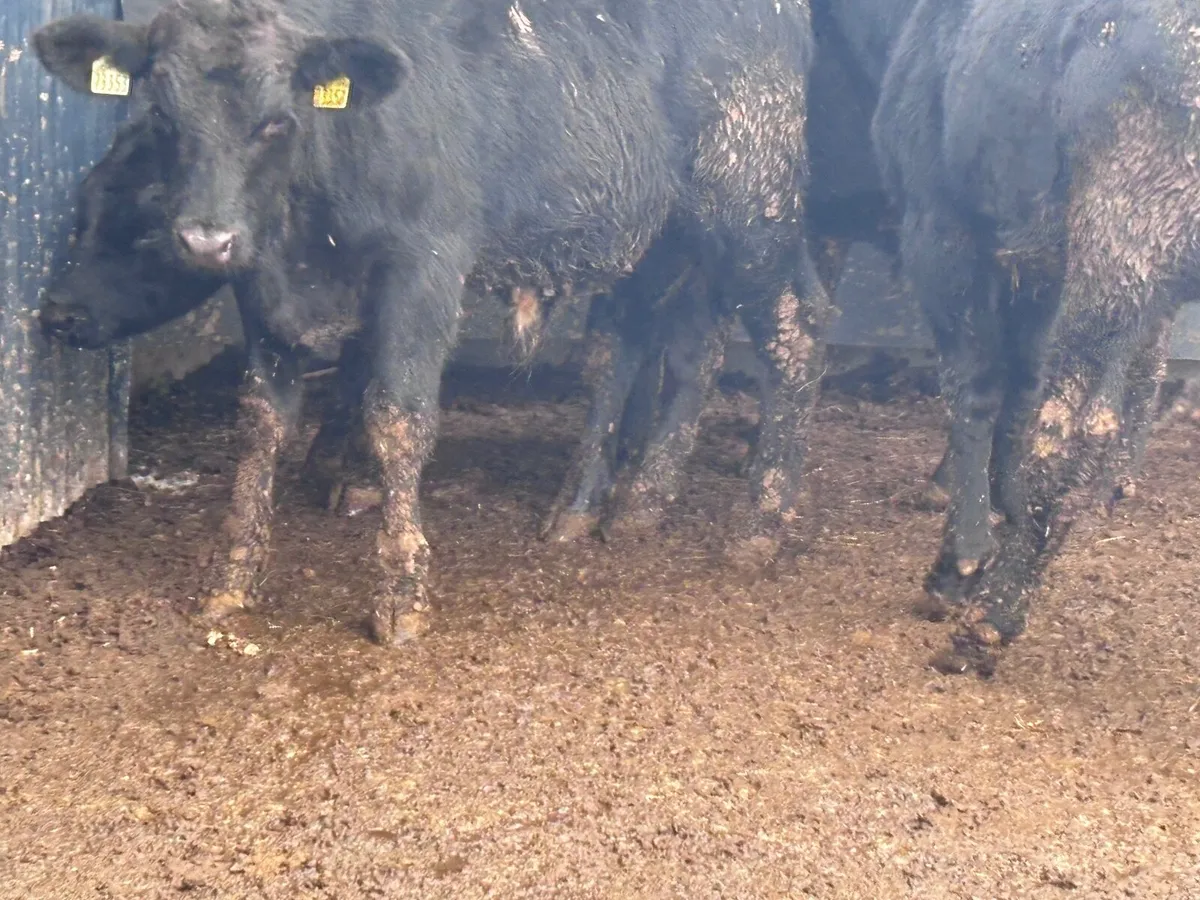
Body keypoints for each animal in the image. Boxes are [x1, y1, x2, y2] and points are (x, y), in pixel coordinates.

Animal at [34, 0, 828, 645]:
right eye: (165, 118)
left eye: (277, 120)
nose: (206, 239)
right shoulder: (264, 286)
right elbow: (261, 421)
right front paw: (232, 578)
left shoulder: (425, 264)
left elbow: (397, 414)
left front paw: (402, 594)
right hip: (659, 236)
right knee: (653, 346)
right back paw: (613, 505)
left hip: (748, 206)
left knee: (797, 335)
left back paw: (758, 523)